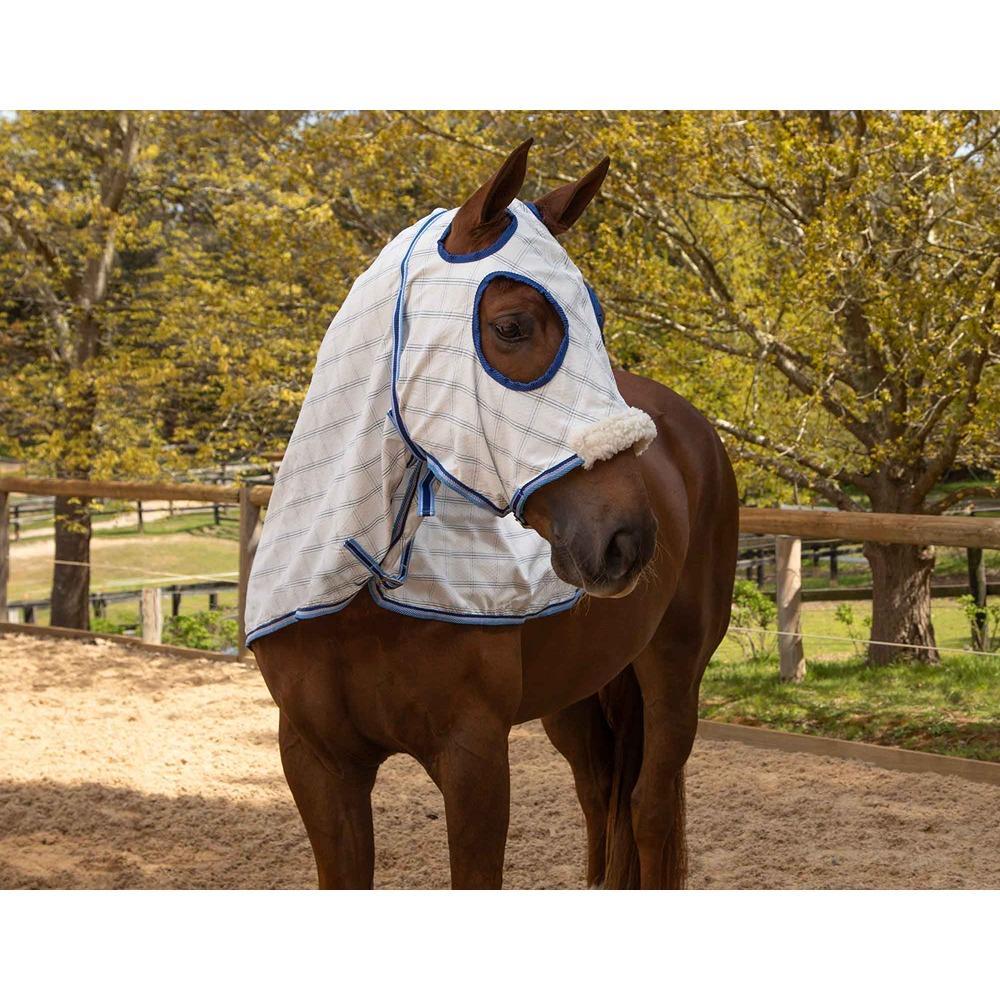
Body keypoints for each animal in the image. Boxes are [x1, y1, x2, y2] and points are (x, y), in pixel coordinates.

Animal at [251, 140, 739, 889]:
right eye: (511, 326)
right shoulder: (316, 763)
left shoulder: (473, 759)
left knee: (650, 811)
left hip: (675, 671)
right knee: (601, 801)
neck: (358, 600)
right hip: (578, 694)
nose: (630, 540)